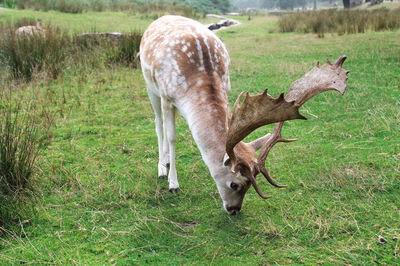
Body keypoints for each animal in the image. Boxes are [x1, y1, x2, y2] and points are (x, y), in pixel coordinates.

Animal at [140, 15, 346, 215]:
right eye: (235, 184)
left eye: (251, 185)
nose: (234, 210)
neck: (194, 81)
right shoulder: (167, 96)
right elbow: (172, 137)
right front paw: (173, 184)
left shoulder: (227, 87)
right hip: (150, 86)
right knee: (159, 124)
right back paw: (162, 166)